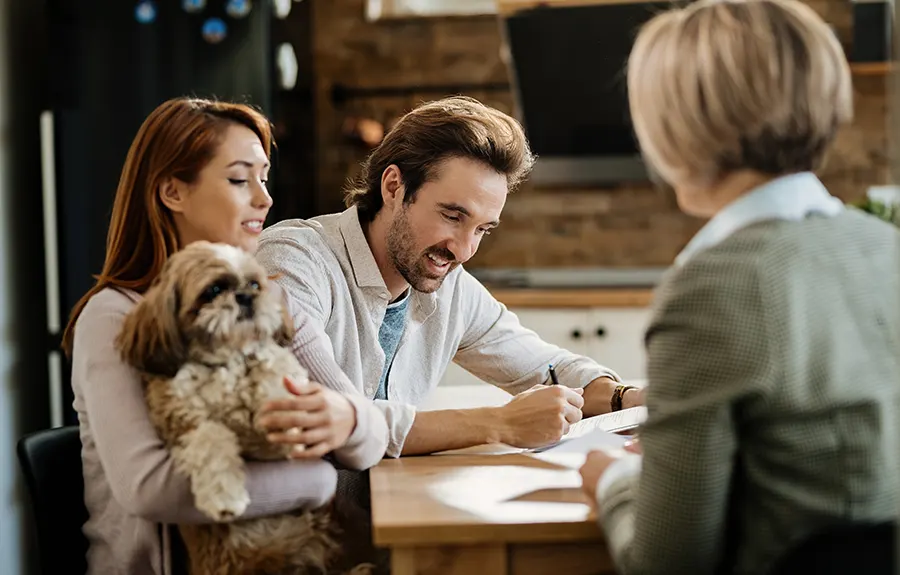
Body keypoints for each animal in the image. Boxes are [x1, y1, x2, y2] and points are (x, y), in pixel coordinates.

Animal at [116, 241, 362, 572]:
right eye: (214, 289)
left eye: (255, 284)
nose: (245, 296)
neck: (226, 360)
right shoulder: (181, 424)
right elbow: (210, 437)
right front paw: (223, 496)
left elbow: (273, 367)